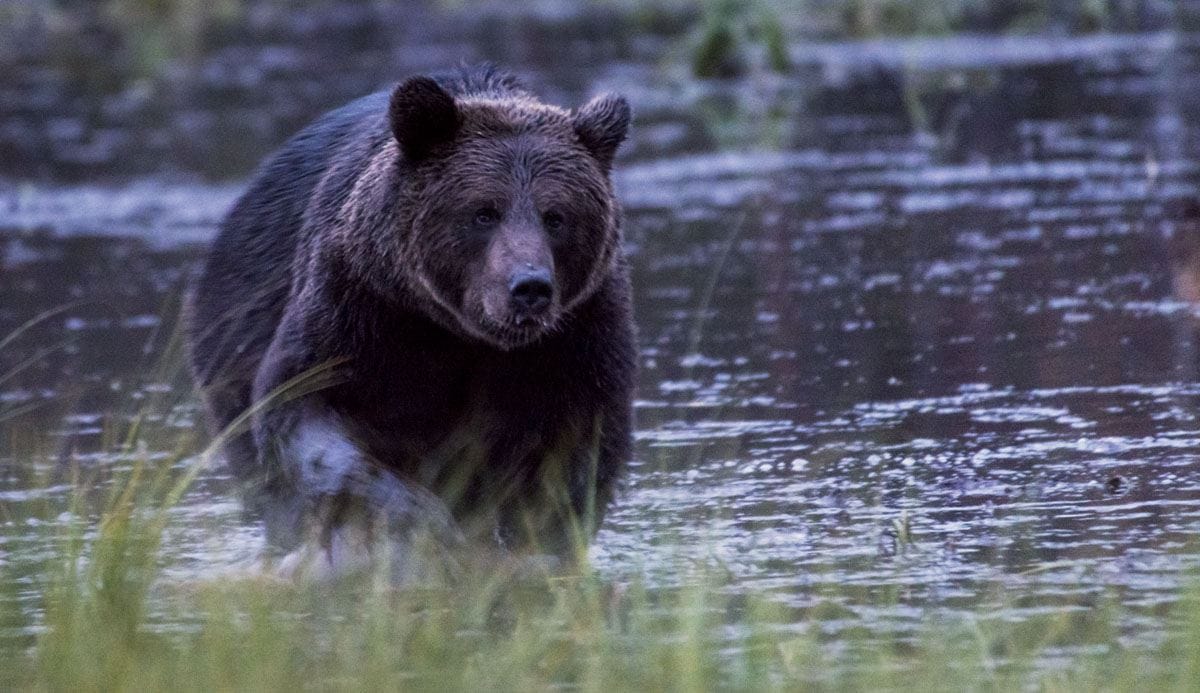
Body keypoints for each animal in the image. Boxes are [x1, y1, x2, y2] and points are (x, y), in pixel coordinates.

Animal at [184, 64, 638, 577]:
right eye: (484, 212)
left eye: (556, 216)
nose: (529, 288)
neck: (461, 335)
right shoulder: (360, 308)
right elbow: (305, 405)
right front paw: (420, 517)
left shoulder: (577, 334)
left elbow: (574, 440)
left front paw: (530, 537)